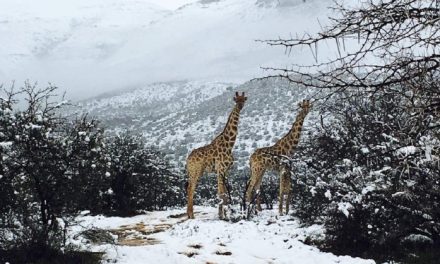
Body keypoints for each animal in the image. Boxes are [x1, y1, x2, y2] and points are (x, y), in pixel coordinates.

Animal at [186, 92, 248, 220]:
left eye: (243, 100)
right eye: (236, 100)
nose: (240, 106)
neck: (229, 144)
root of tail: (187, 159)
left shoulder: (225, 170)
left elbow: (224, 193)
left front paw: (224, 215)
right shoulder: (220, 169)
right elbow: (221, 193)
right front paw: (223, 216)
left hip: (194, 172)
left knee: (189, 188)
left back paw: (189, 214)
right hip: (195, 171)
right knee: (191, 189)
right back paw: (191, 215)